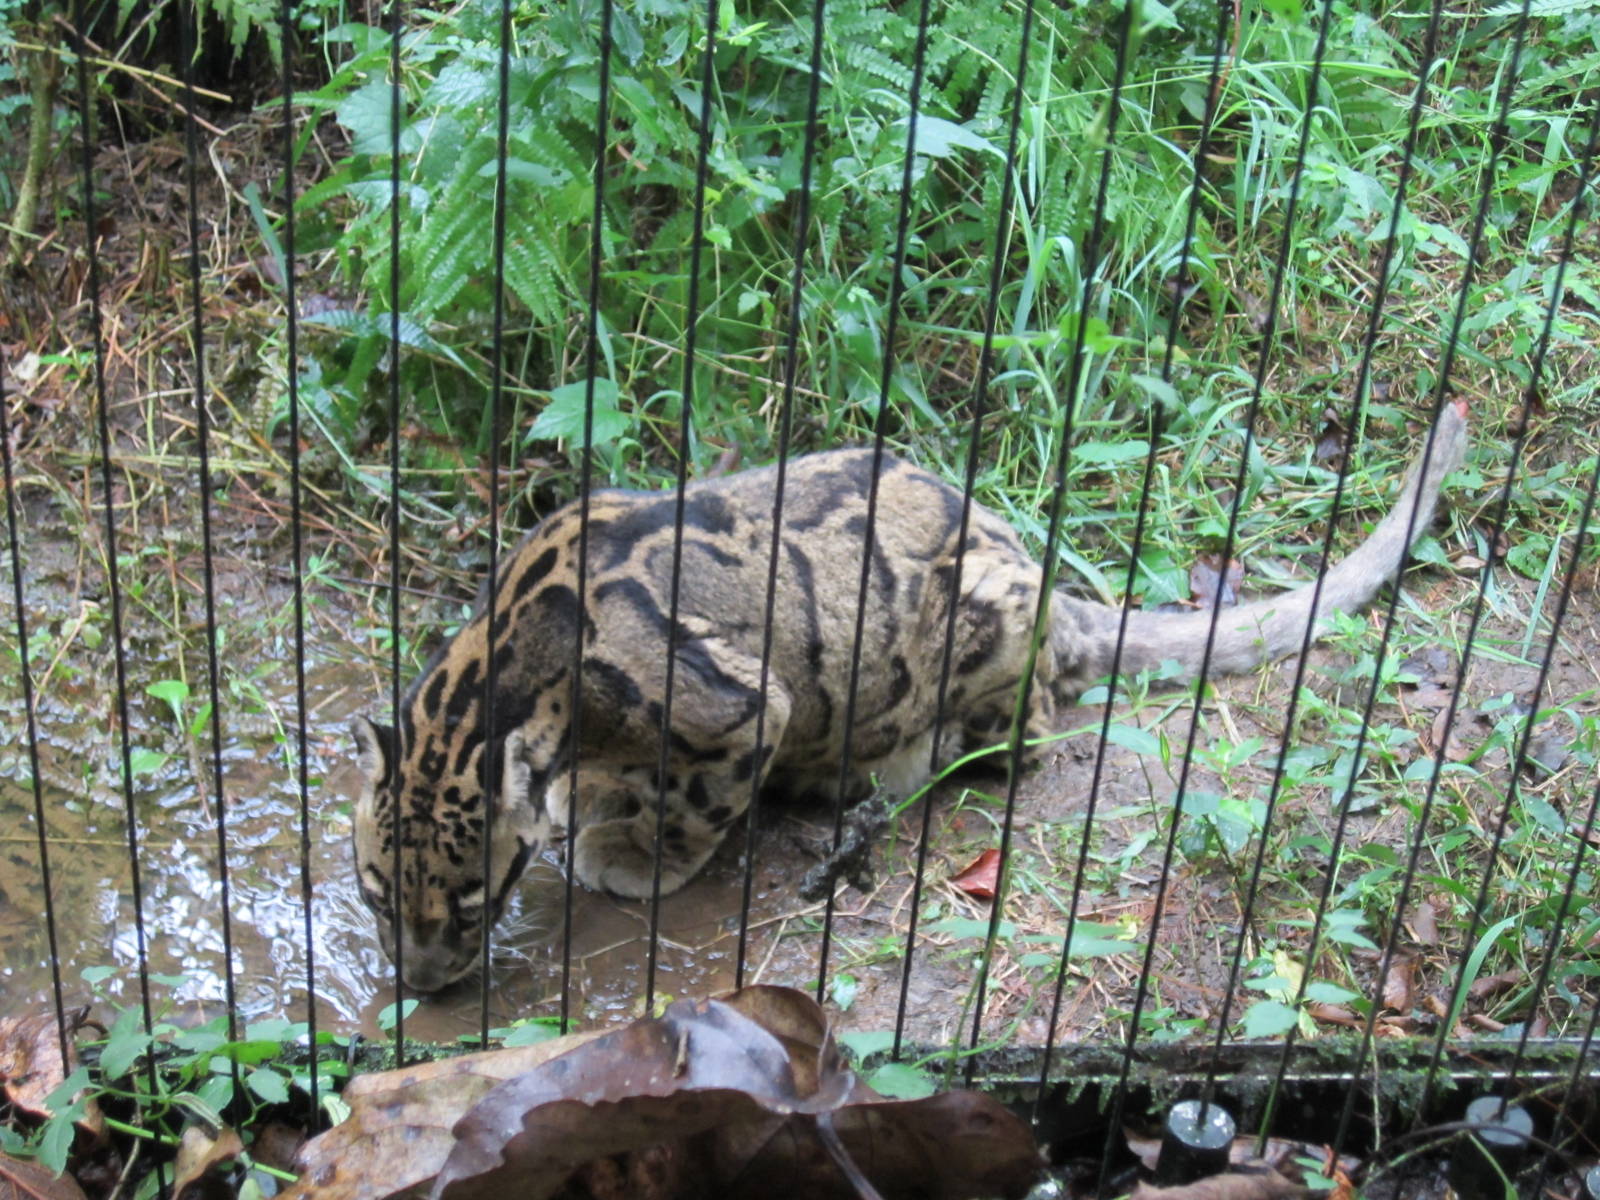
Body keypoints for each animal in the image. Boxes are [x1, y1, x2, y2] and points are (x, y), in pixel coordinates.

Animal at [351, 400, 1469, 991]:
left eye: (468, 901)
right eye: (372, 893)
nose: (417, 980)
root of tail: (1053, 587)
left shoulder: (742, 705)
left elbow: (694, 803)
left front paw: (630, 854)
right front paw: (596, 806)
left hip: (980, 631)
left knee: (1023, 738)